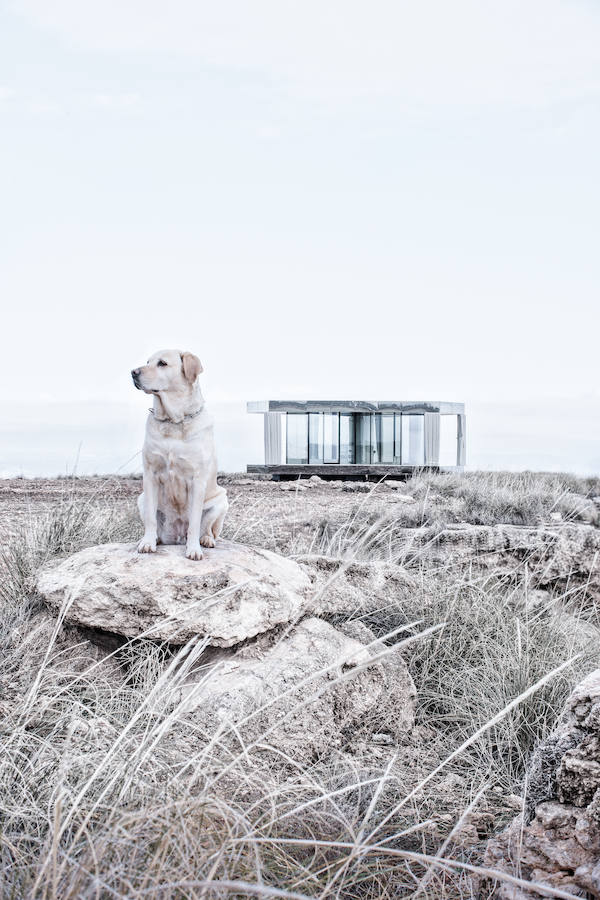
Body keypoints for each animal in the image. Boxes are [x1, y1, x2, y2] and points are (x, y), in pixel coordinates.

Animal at [131, 348, 227, 560]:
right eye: (147, 362)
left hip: (221, 501)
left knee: (208, 529)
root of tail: (176, 537)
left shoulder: (196, 479)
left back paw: (205, 540)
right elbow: (150, 519)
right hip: (141, 499)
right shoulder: (150, 475)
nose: (133, 372)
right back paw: (154, 539)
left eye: (162, 363)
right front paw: (147, 543)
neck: (173, 421)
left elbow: (194, 522)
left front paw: (193, 550)